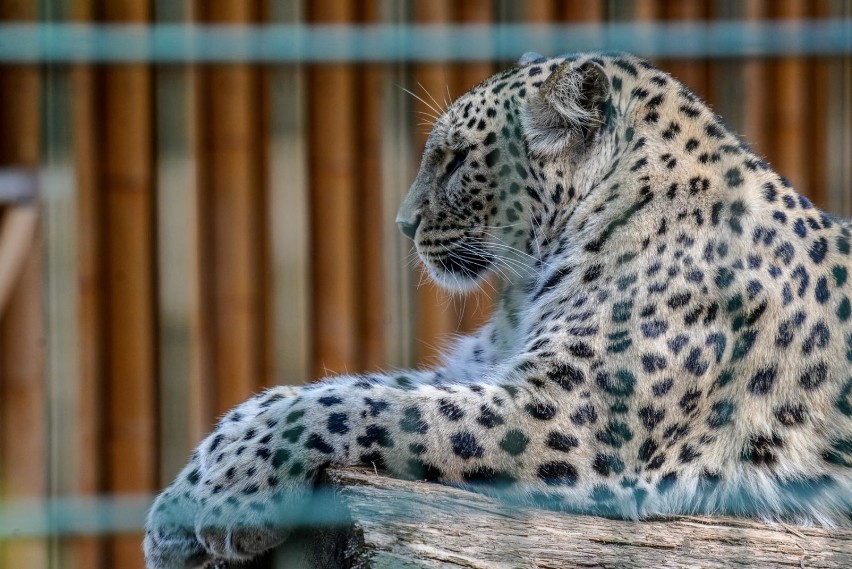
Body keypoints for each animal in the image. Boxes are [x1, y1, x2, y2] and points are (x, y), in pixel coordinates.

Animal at [143, 51, 852, 564]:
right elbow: (324, 389)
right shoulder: (484, 368)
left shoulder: (567, 414)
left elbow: (362, 407)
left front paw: (234, 492)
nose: (403, 225)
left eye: (457, 160)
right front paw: (178, 504)